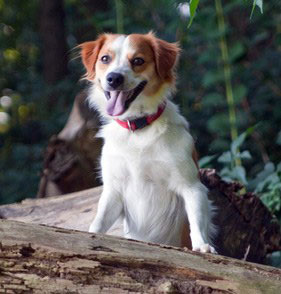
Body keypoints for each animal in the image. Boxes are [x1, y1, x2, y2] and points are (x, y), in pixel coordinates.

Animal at [80, 31, 215, 253]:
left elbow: (196, 221)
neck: (137, 128)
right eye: (105, 59)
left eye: (138, 61)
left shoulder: (191, 186)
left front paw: (202, 245)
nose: (114, 78)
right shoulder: (114, 189)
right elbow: (99, 221)